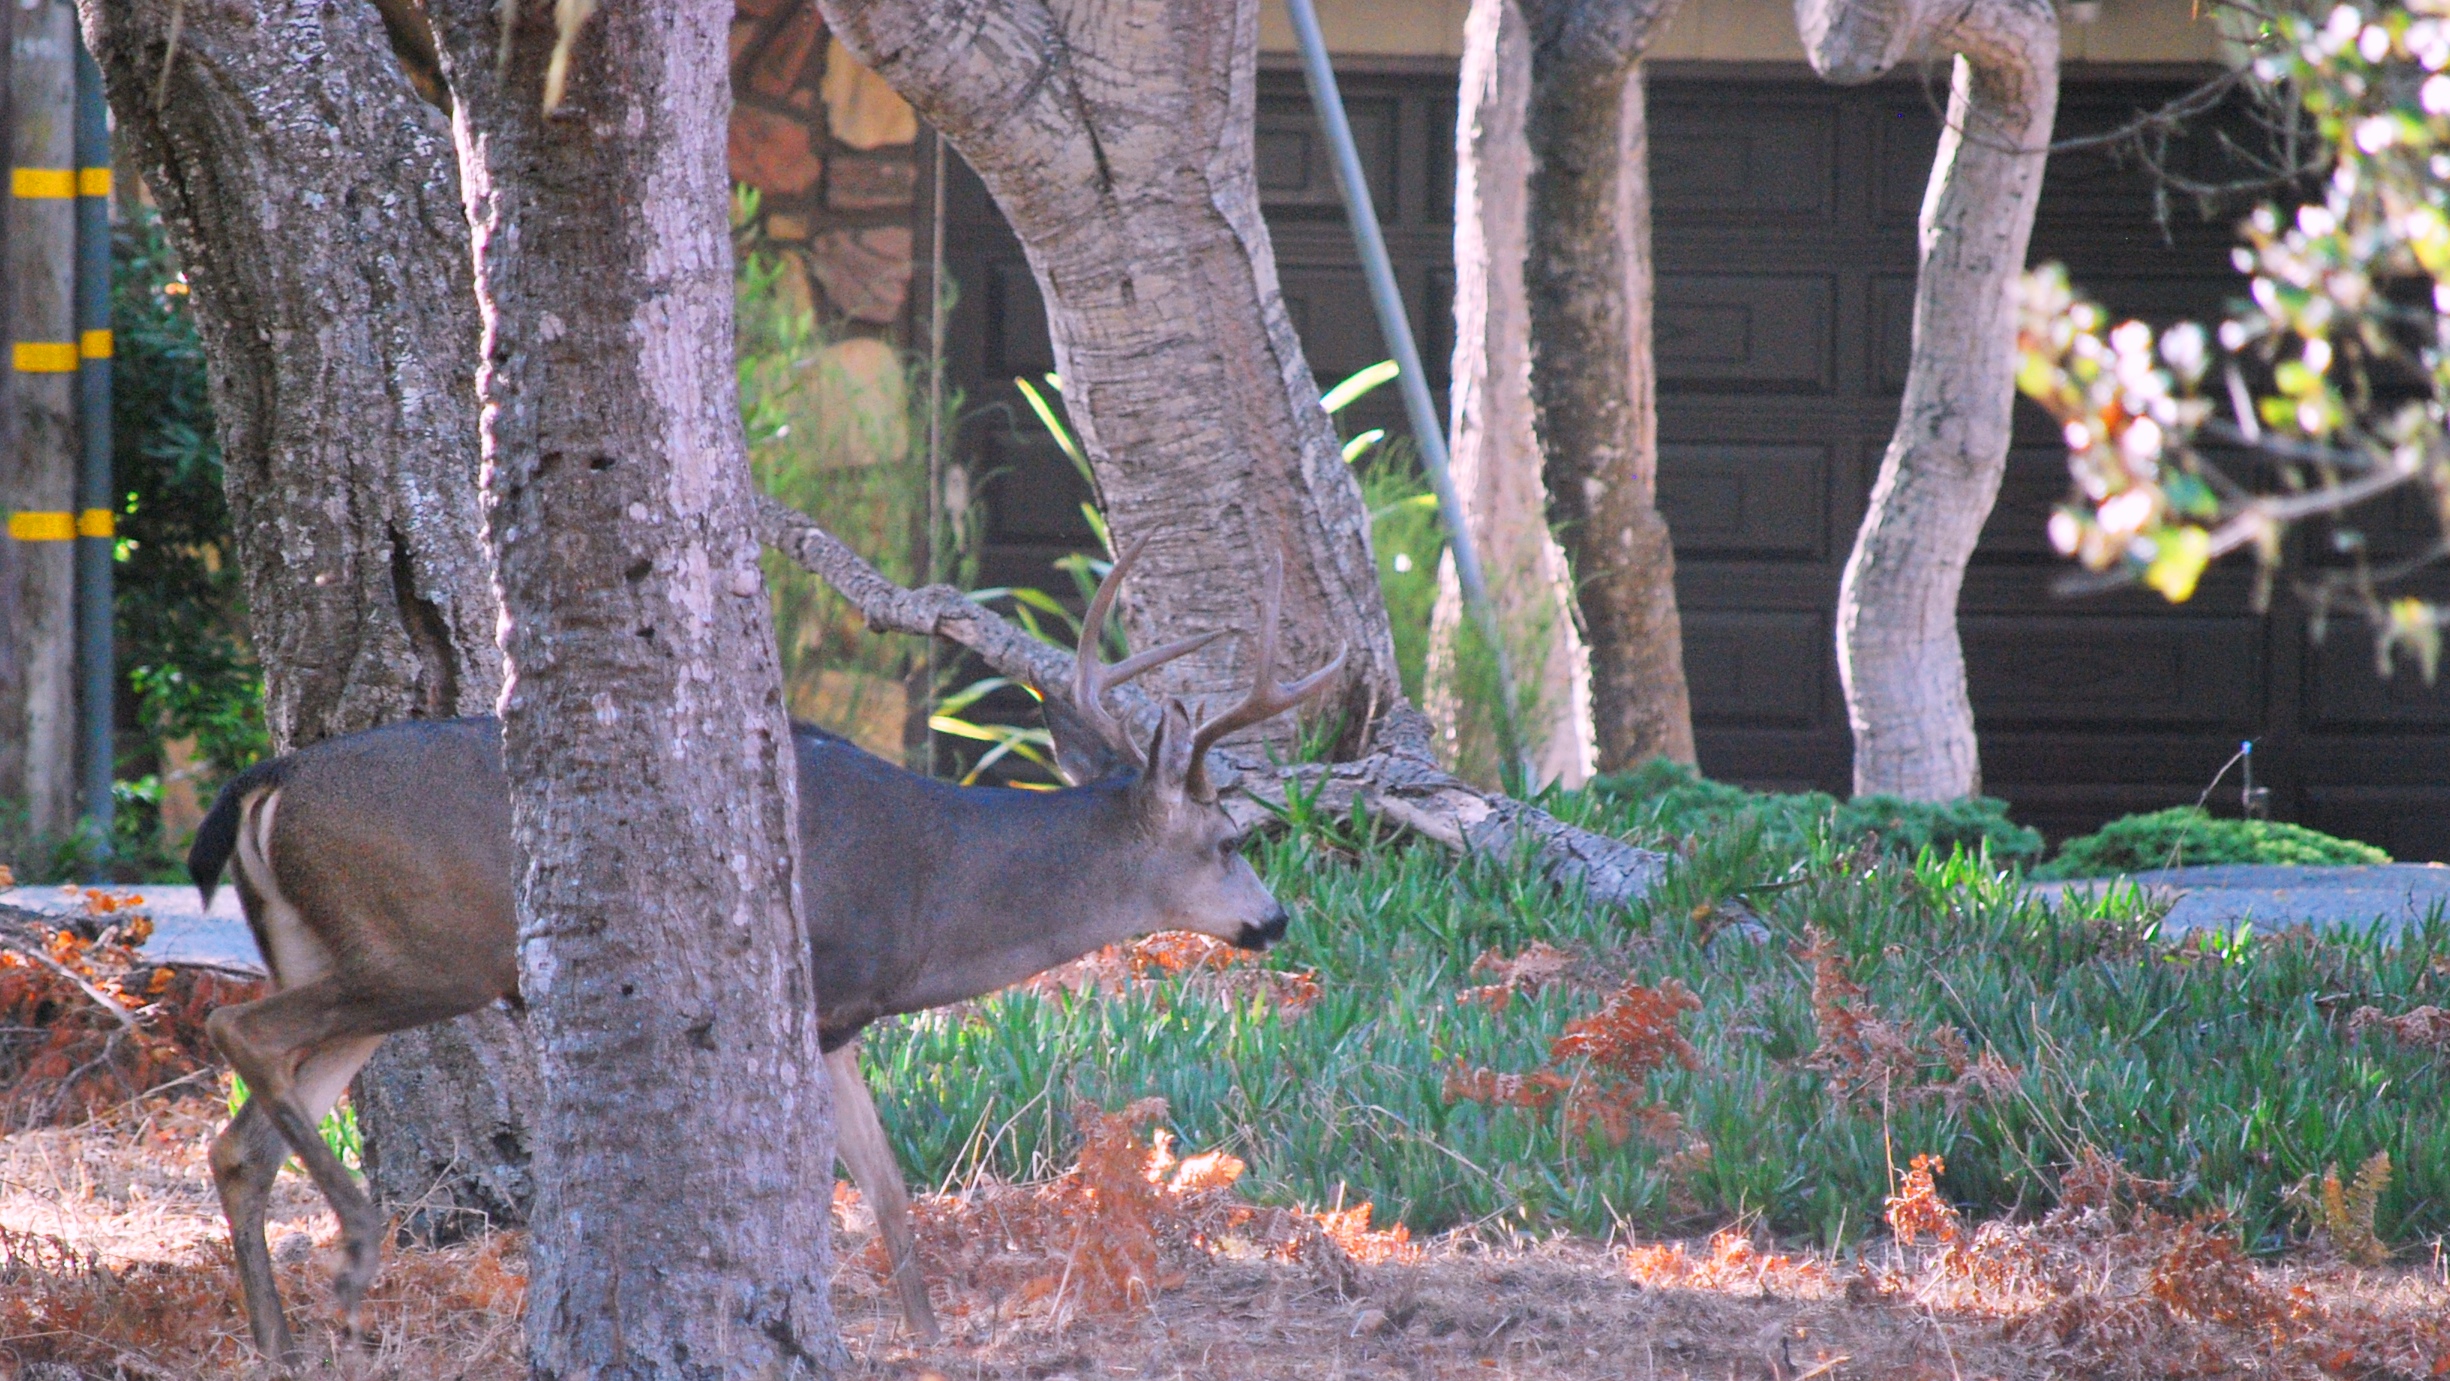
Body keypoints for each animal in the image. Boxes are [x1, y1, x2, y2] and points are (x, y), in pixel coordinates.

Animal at [185, 542, 1341, 1364]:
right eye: (1229, 841)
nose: (1278, 920)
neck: (937, 884)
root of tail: (267, 780)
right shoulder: (817, 986)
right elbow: (829, 1193)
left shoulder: (841, 1015)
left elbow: (889, 1191)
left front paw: (928, 1341)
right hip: (422, 952)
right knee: (234, 1023)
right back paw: (352, 1246)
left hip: (344, 957)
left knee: (241, 1143)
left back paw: (282, 1341)